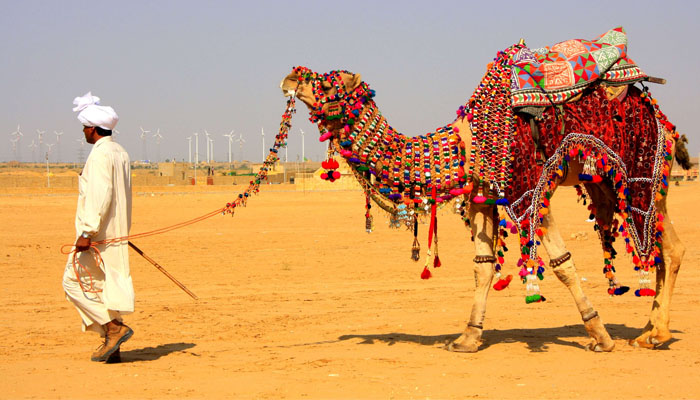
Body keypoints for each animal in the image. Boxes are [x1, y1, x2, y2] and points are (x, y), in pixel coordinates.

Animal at [280, 37, 685, 353]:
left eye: (329, 82)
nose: (291, 75)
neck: (462, 146)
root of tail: (663, 120)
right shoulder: (482, 198)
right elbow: (483, 267)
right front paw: (468, 338)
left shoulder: (530, 189)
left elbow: (562, 264)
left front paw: (600, 335)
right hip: (607, 183)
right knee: (659, 247)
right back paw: (648, 331)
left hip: (641, 172)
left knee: (669, 247)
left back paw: (656, 334)